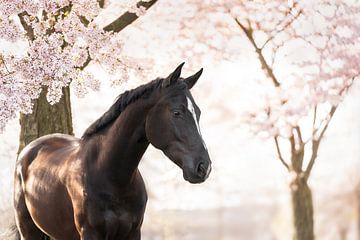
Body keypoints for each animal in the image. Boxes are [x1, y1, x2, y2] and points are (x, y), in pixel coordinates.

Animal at [13, 62, 211, 239]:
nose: (204, 167)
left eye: (199, 112)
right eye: (177, 112)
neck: (111, 176)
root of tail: (30, 149)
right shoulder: (90, 234)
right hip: (29, 230)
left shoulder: (133, 233)